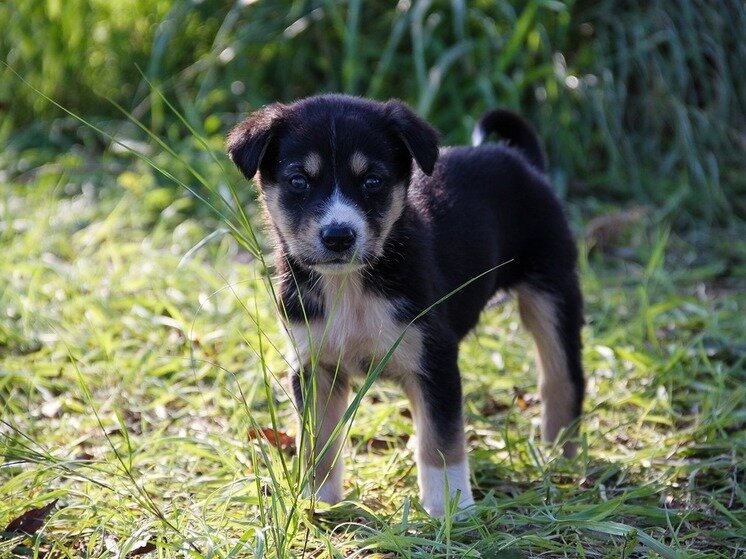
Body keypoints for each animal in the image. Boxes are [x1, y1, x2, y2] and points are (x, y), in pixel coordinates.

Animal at [225, 94, 580, 520]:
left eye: (372, 181)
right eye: (298, 181)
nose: (338, 236)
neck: (352, 286)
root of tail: (521, 161)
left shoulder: (435, 359)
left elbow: (442, 442)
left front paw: (450, 507)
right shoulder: (314, 365)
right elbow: (319, 440)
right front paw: (318, 499)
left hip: (551, 289)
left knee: (562, 376)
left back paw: (559, 456)